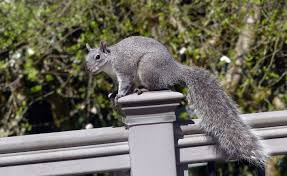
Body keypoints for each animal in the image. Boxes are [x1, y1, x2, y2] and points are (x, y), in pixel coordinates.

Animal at [85, 36, 268, 166]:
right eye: (86, 59)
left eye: (98, 56)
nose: (89, 69)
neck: (110, 62)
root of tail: (173, 71)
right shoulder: (114, 77)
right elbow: (118, 86)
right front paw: (112, 93)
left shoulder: (124, 69)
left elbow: (126, 83)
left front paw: (120, 95)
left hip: (147, 68)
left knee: (159, 86)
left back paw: (144, 89)